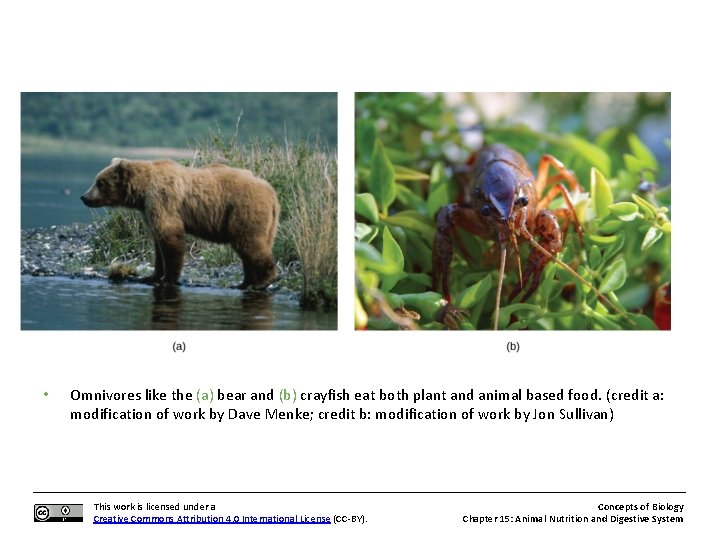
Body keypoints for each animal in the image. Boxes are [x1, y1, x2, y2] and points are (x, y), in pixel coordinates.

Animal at [81, 158, 279, 289]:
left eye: (100, 182)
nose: (84, 197)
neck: (142, 192)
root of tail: (272, 193)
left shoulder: (162, 199)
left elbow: (170, 237)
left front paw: (168, 279)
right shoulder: (147, 211)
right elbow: (158, 245)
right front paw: (151, 276)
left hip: (244, 210)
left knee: (249, 244)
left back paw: (264, 280)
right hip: (267, 222)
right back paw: (244, 283)